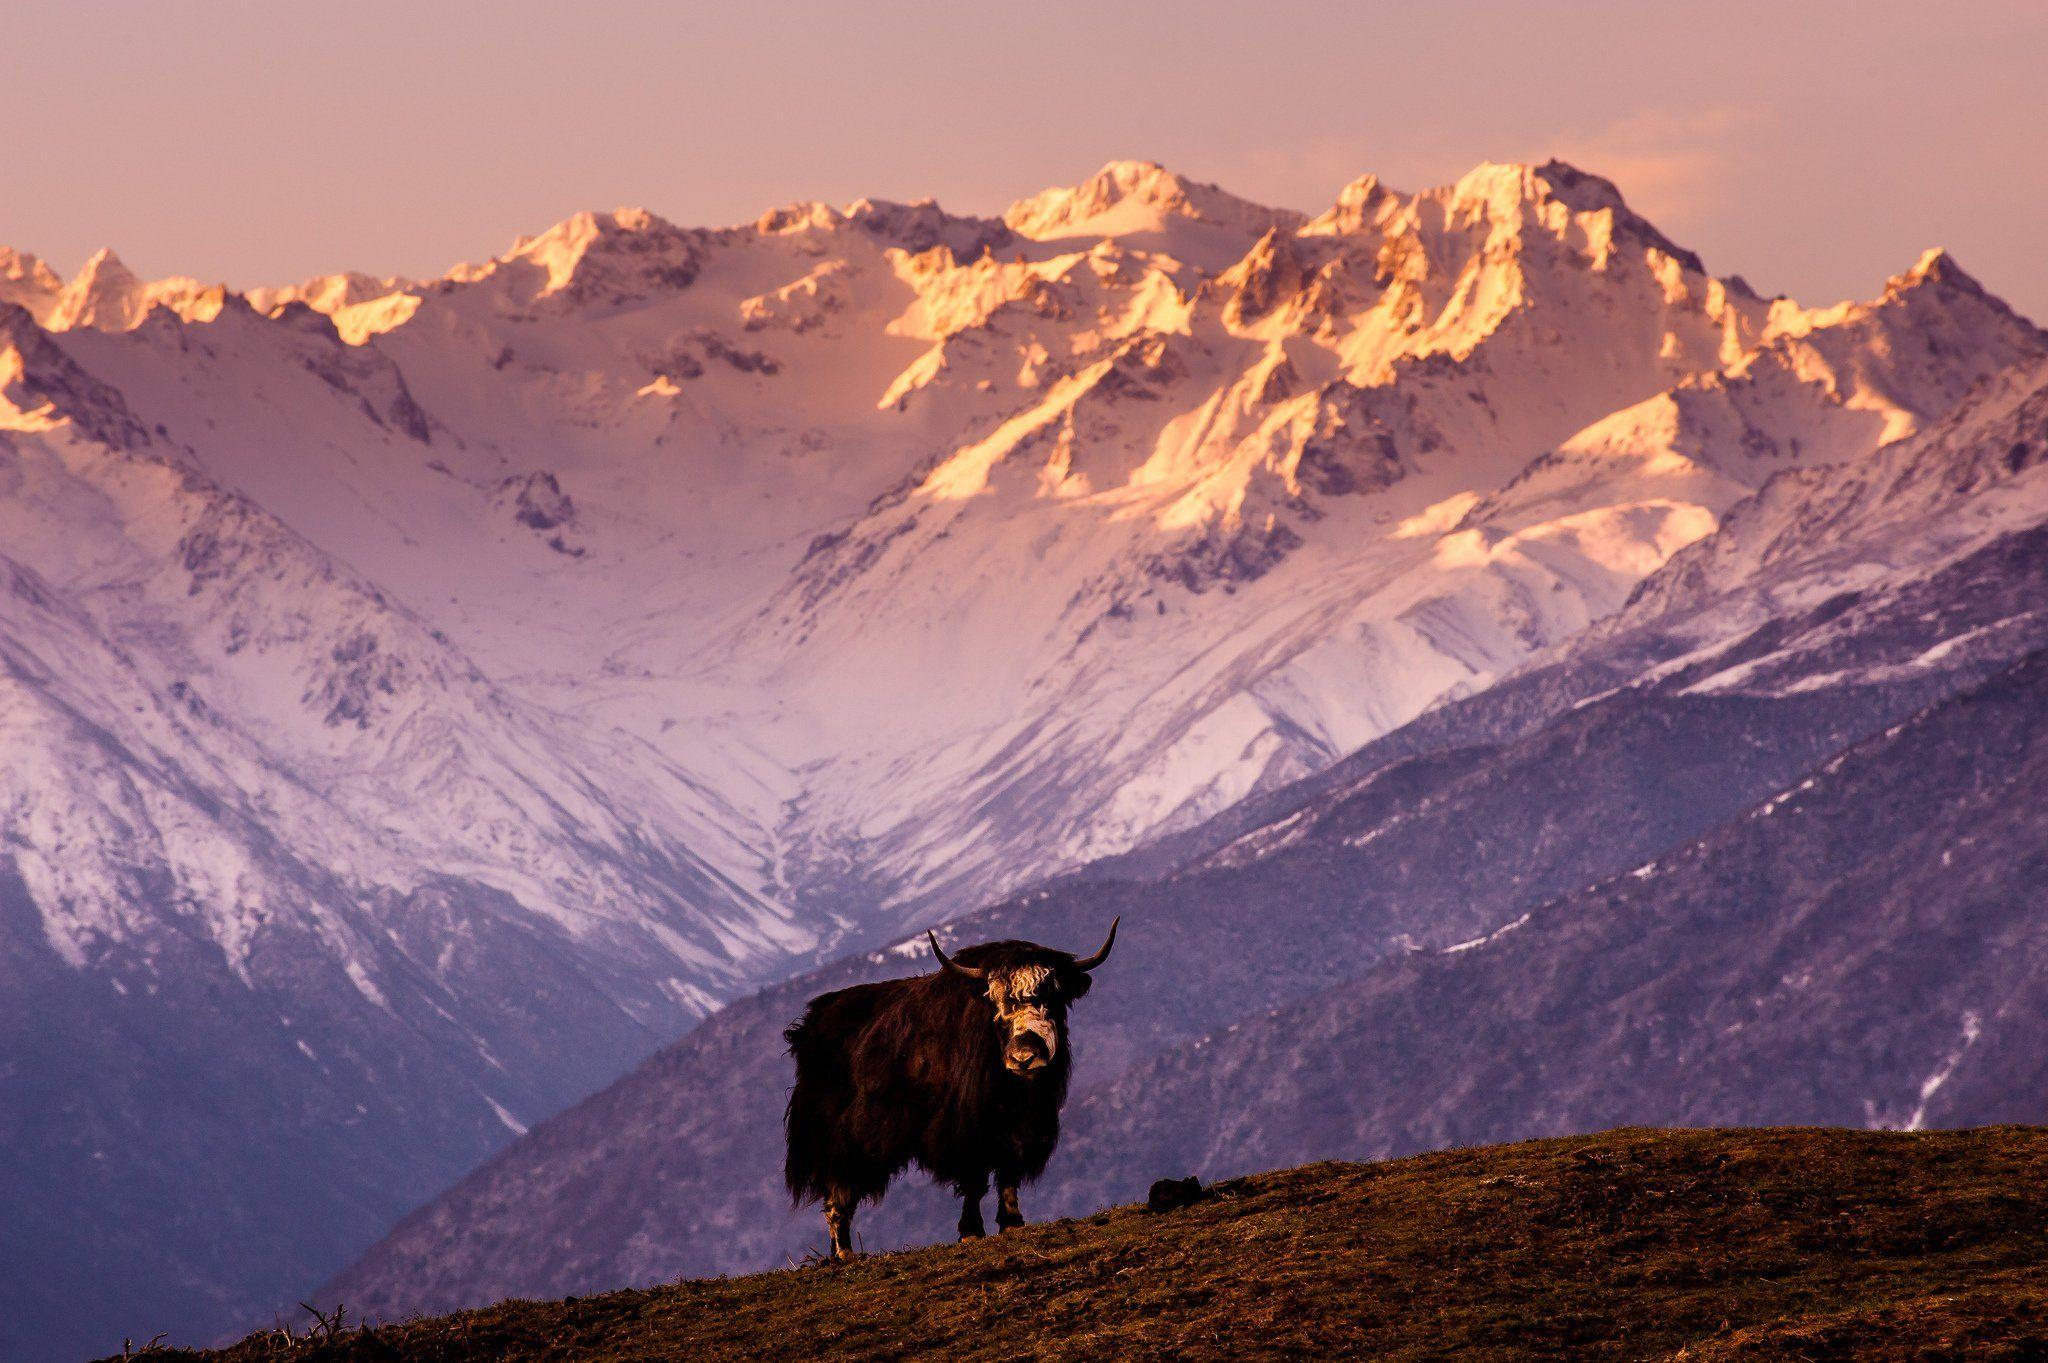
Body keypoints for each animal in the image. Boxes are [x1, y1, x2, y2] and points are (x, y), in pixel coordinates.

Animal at [782, 919, 1118, 1260]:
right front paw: (971, 1231)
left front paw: (1012, 1223)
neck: (1014, 1093)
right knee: (838, 1194)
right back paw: (845, 1254)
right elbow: (974, 1179)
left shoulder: (1022, 1127)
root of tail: (809, 1026)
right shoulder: (966, 1129)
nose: (1023, 1057)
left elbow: (1008, 1169)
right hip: (836, 1140)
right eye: (996, 1001)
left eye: (1052, 996)